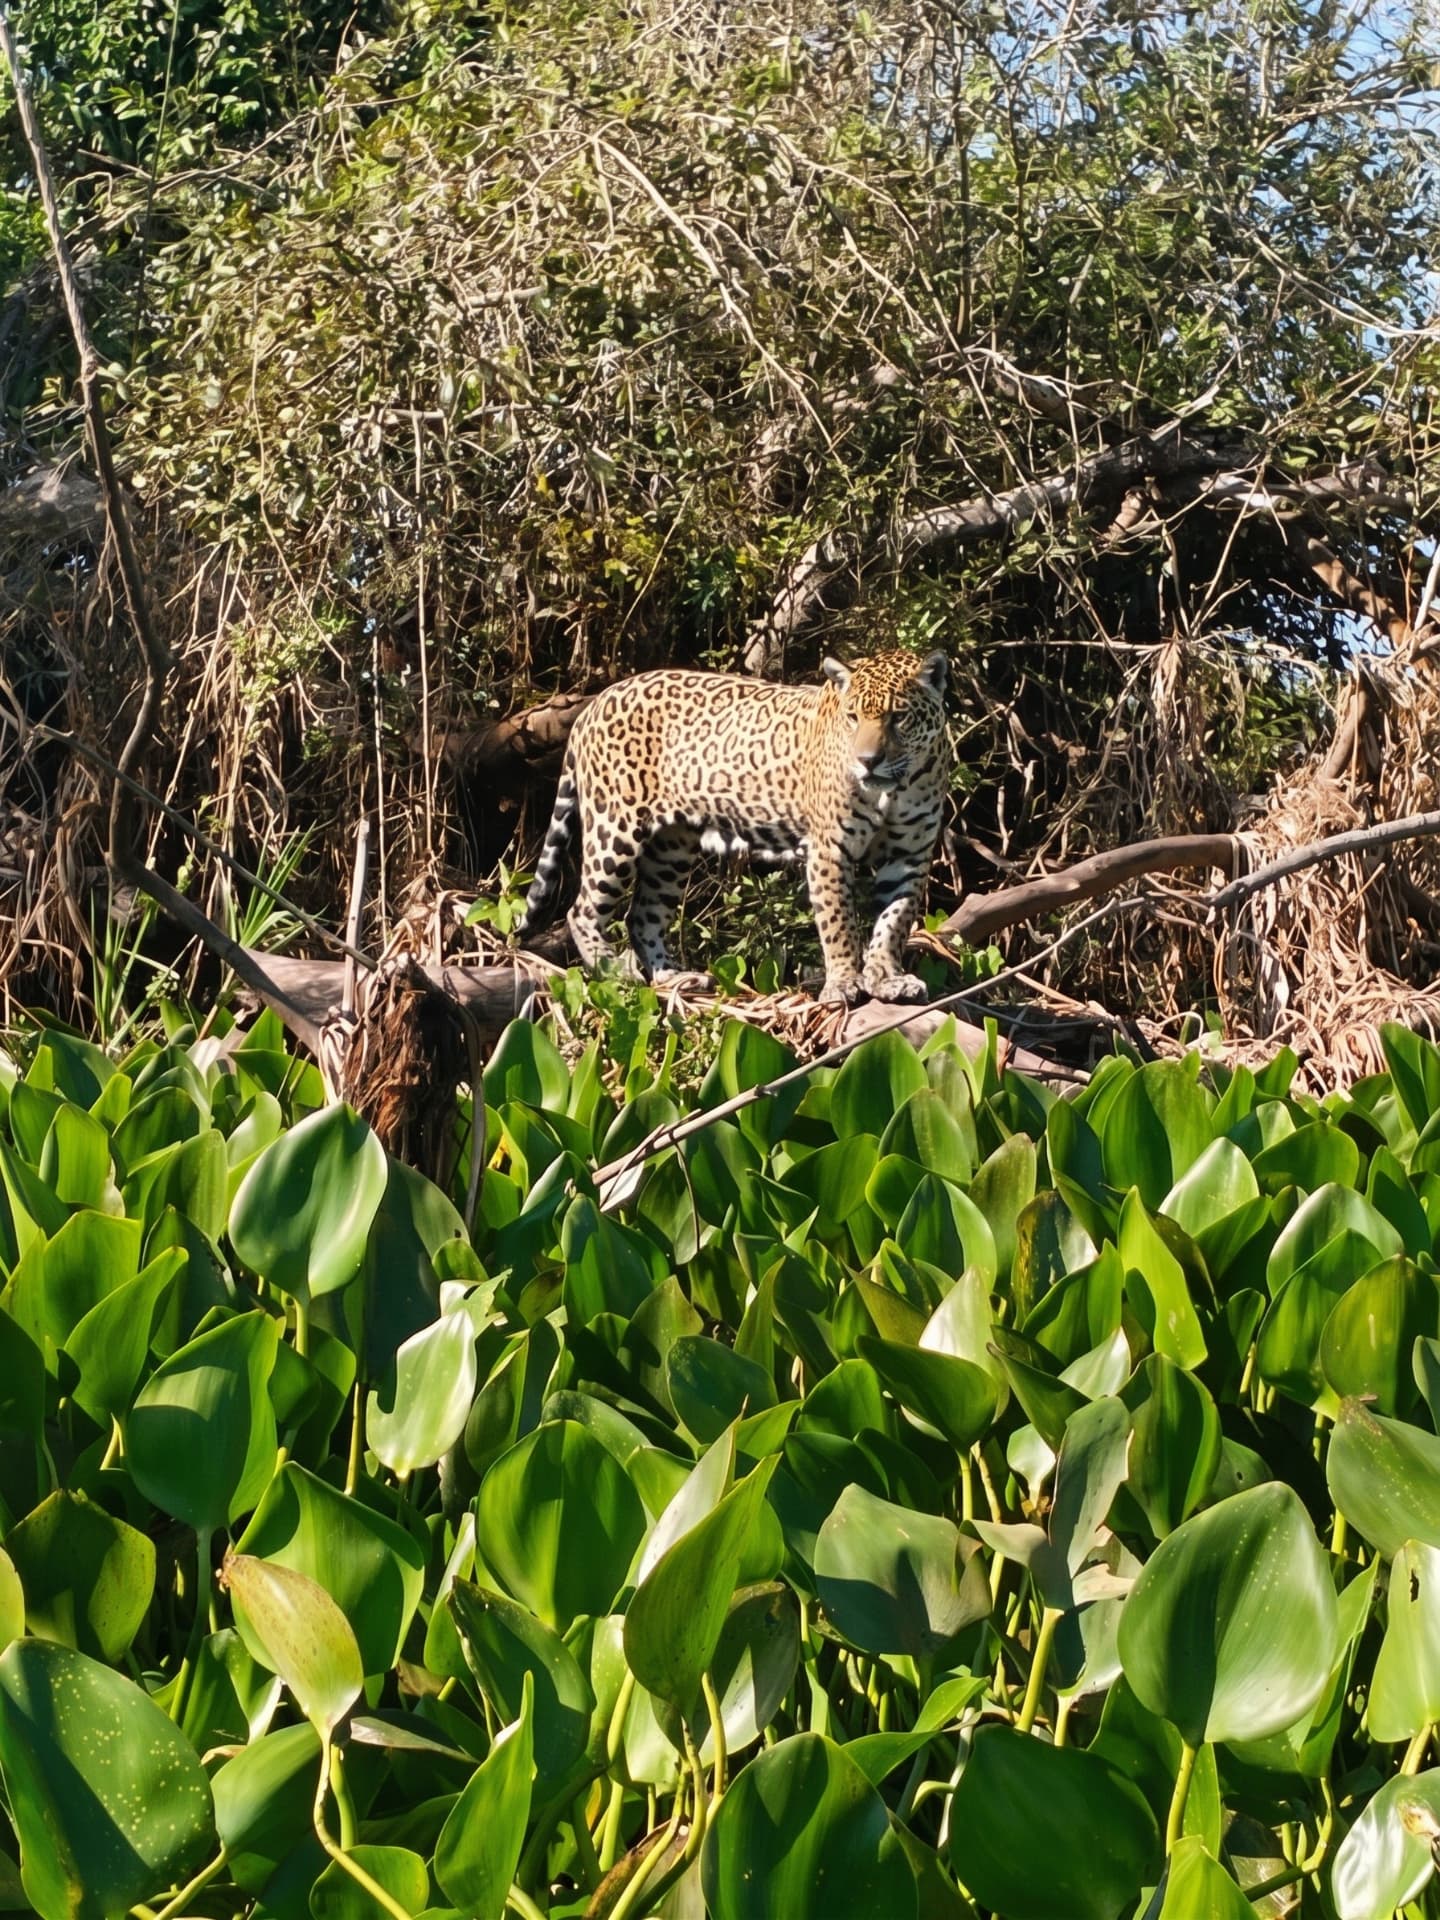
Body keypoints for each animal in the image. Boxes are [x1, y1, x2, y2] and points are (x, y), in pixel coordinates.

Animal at [513, 648, 951, 1006]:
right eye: (853, 717)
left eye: (899, 718)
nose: (867, 762)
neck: (893, 791)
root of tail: (594, 703)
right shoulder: (829, 851)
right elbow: (838, 922)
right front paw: (844, 983)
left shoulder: (910, 856)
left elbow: (894, 921)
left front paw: (887, 978)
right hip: (615, 829)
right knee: (582, 909)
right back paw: (614, 971)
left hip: (670, 849)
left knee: (642, 916)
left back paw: (675, 977)